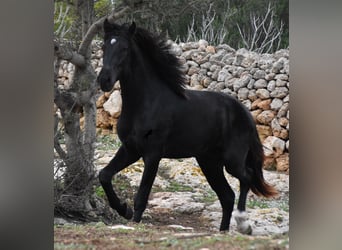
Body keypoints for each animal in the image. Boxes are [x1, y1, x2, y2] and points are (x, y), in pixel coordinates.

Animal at [95, 19, 276, 232]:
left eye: (124, 48)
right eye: (104, 46)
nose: (104, 80)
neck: (146, 103)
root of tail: (245, 113)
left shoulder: (153, 154)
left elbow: (142, 196)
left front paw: (133, 218)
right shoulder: (130, 149)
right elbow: (104, 175)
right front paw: (123, 209)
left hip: (232, 160)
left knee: (246, 177)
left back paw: (243, 223)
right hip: (209, 162)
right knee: (227, 196)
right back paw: (223, 231)